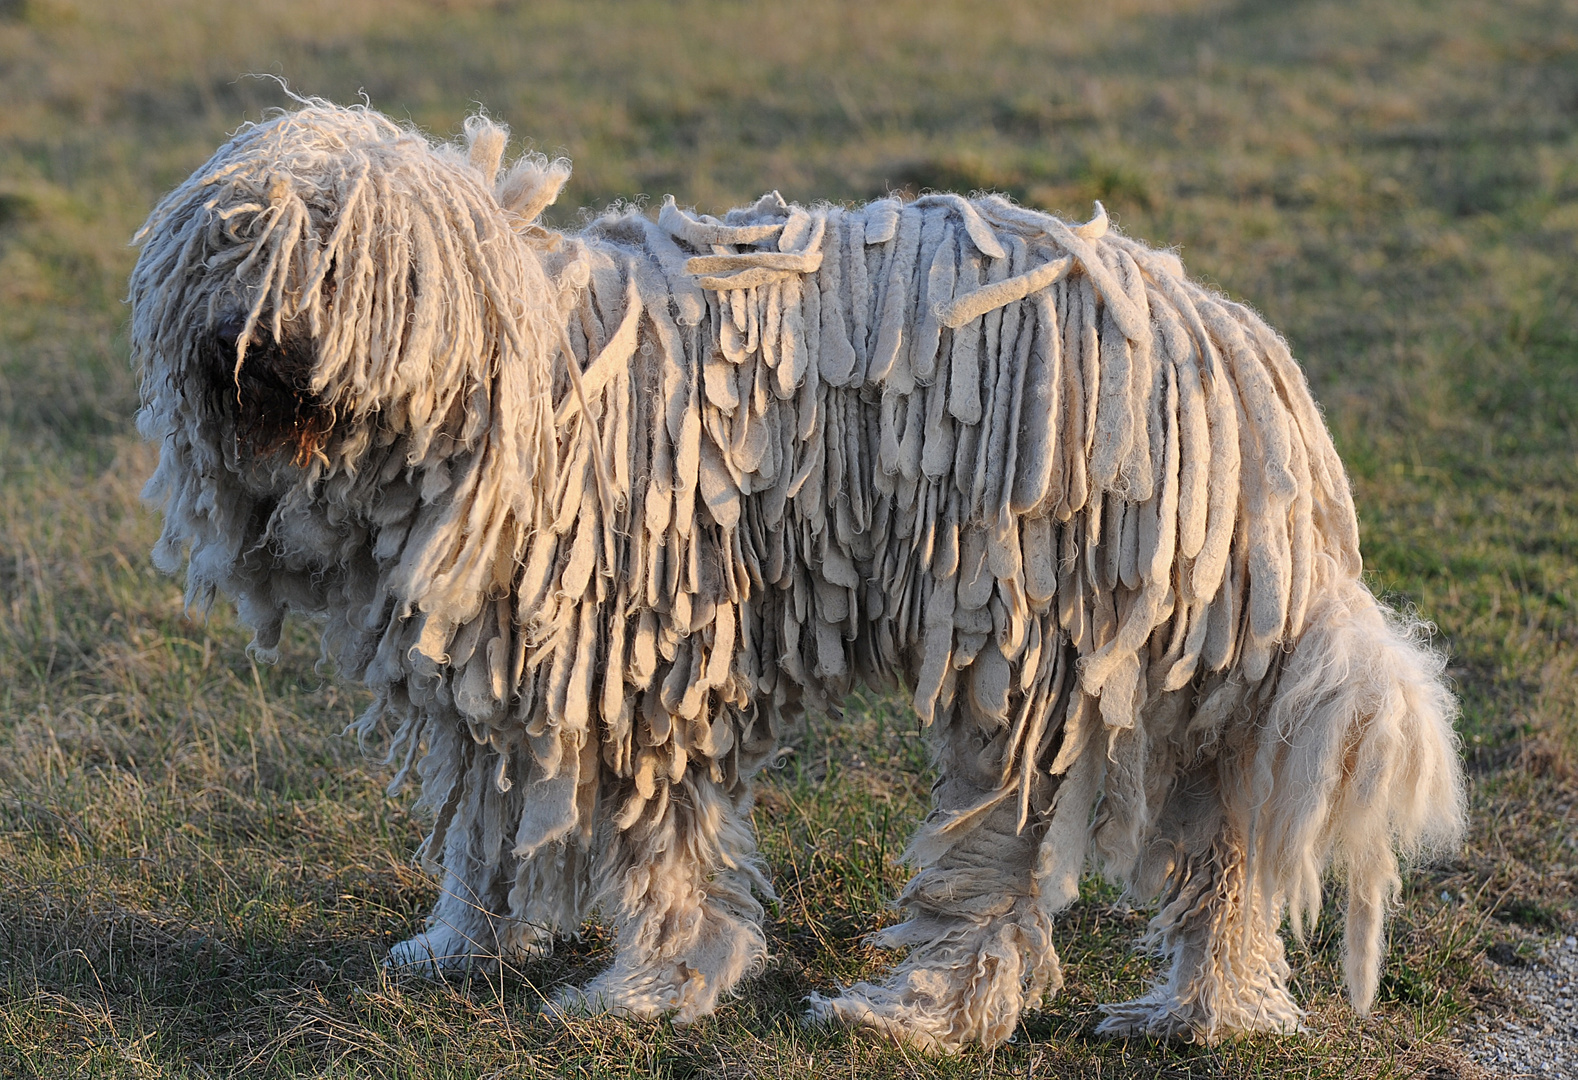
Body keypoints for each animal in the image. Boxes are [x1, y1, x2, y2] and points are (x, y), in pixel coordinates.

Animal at [126, 101, 1464, 1048]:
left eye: (340, 252)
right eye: (234, 243)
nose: (259, 348)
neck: (517, 379)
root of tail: (1225, 350)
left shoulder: (641, 653)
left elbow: (659, 843)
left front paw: (651, 988)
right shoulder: (500, 661)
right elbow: (488, 809)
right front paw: (465, 940)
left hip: (1034, 628)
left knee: (1001, 855)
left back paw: (918, 1013)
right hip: (1181, 658)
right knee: (1223, 846)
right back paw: (1201, 1014)